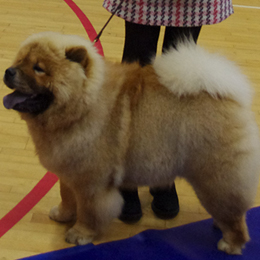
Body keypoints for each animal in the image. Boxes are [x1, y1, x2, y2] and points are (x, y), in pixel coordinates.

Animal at [2, 32, 260, 254]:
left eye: (39, 69)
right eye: (20, 60)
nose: (9, 71)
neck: (83, 105)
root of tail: (229, 96)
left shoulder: (90, 182)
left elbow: (88, 211)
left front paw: (80, 234)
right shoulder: (69, 171)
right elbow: (66, 195)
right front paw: (63, 215)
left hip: (215, 177)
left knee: (234, 214)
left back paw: (230, 243)